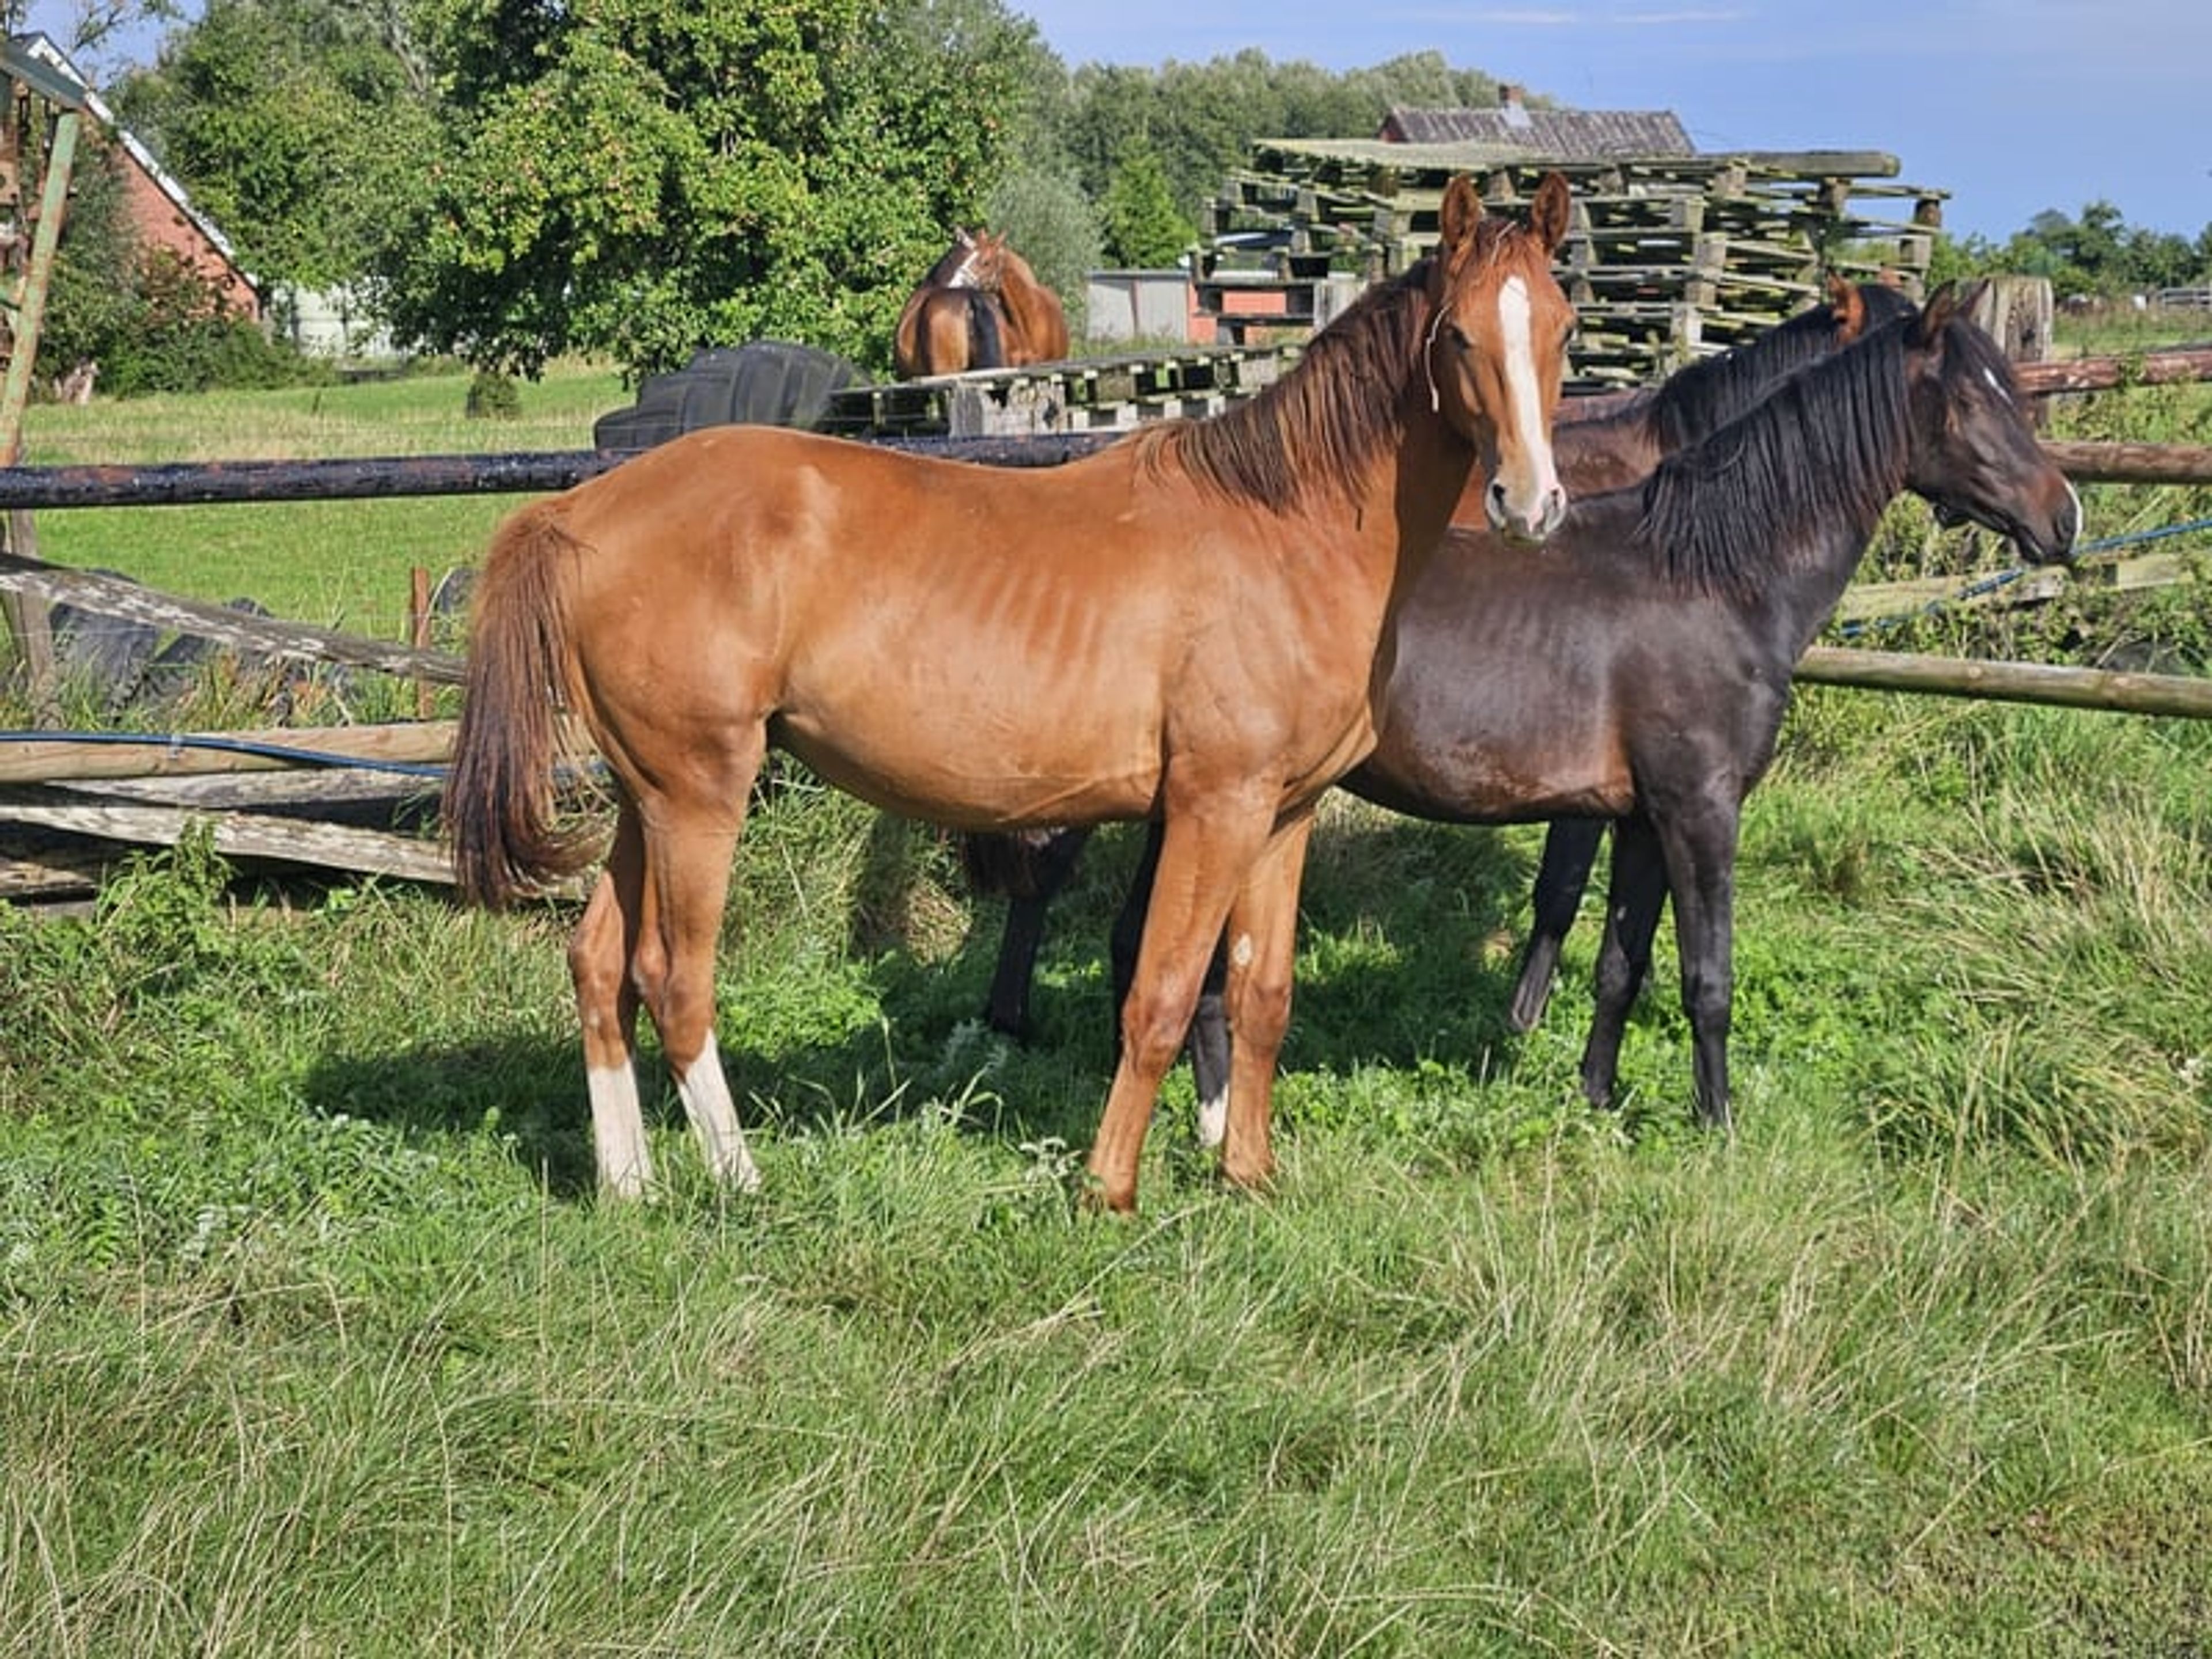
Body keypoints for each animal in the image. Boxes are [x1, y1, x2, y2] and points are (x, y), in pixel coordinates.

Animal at [443, 170, 1576, 1212]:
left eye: (1562, 329)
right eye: (1460, 336)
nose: (1531, 504)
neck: (1282, 524)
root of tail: (578, 513)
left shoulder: (1282, 816)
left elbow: (1261, 995)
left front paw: (1247, 1176)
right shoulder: (1214, 809)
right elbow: (1163, 995)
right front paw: (1109, 1187)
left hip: (648, 800)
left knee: (599, 967)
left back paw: (627, 1186)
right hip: (699, 800)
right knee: (675, 982)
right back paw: (740, 1181)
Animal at [1100, 281, 2079, 1141]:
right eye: (1971, 400)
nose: (2064, 518)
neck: (1713, 575)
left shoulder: (1644, 817)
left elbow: (1622, 963)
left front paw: (1598, 1098)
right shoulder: (1701, 812)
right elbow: (1707, 977)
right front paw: (1717, 1126)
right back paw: (1212, 1120)